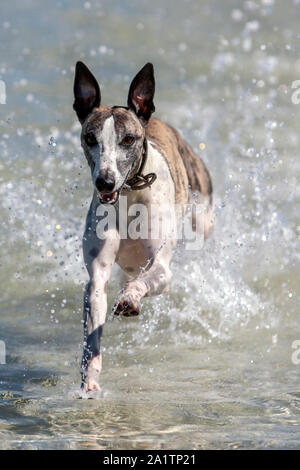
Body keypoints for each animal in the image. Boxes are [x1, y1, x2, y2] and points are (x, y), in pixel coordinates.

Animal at [73, 62, 214, 392]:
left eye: (127, 139)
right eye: (90, 138)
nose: (105, 181)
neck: (129, 195)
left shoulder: (162, 267)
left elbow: (147, 280)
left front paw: (129, 299)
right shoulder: (96, 277)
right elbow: (93, 331)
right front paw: (89, 383)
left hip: (203, 214)